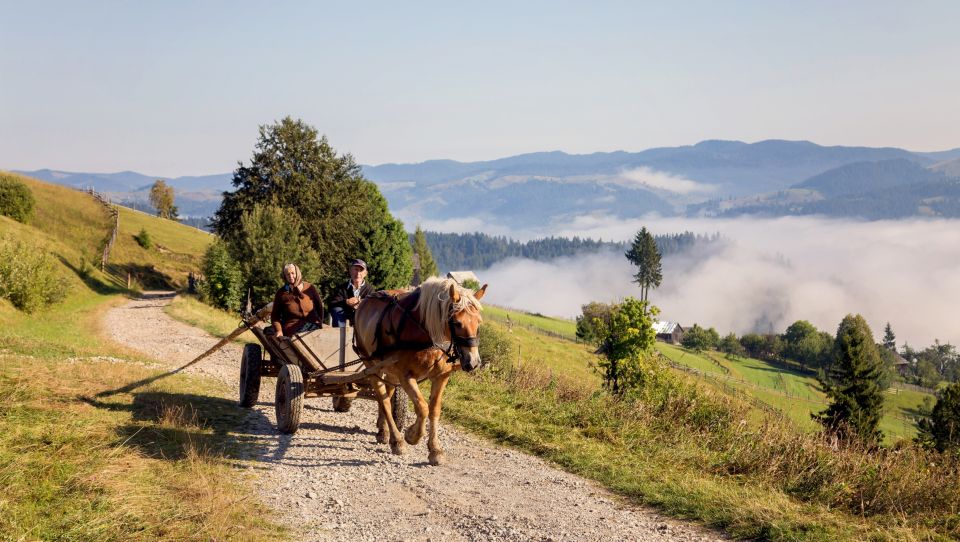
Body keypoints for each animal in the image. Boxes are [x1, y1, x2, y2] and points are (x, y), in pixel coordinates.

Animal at [352, 278, 488, 466]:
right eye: (457, 323)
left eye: (479, 322)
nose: (473, 363)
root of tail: (364, 302)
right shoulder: (406, 377)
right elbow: (422, 407)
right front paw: (412, 435)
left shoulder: (441, 376)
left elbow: (434, 409)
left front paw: (435, 450)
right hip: (370, 365)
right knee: (383, 399)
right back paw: (397, 440)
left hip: (388, 369)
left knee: (387, 394)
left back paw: (383, 431)